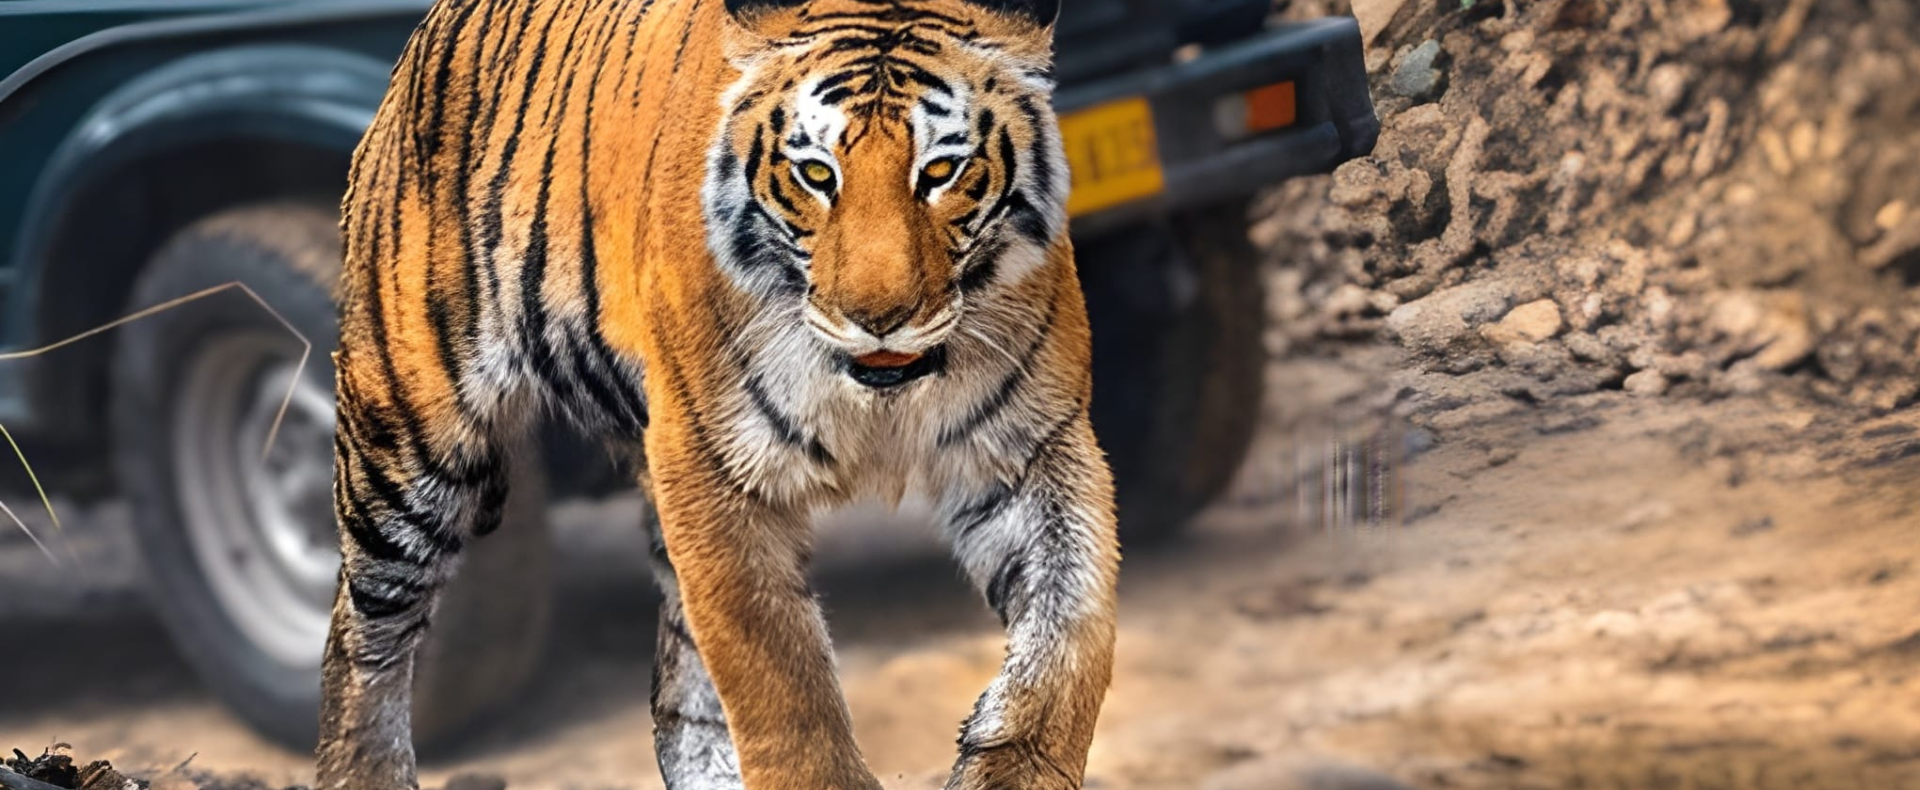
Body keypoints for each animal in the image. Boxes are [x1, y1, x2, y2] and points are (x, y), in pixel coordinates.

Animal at [316, 0, 1118, 786]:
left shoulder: (1033, 449)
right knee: (362, 641)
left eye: (943, 170)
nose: (878, 319)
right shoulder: (715, 472)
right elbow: (780, 681)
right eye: (817, 175)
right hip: (407, 448)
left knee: (679, 699)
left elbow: (1076, 627)